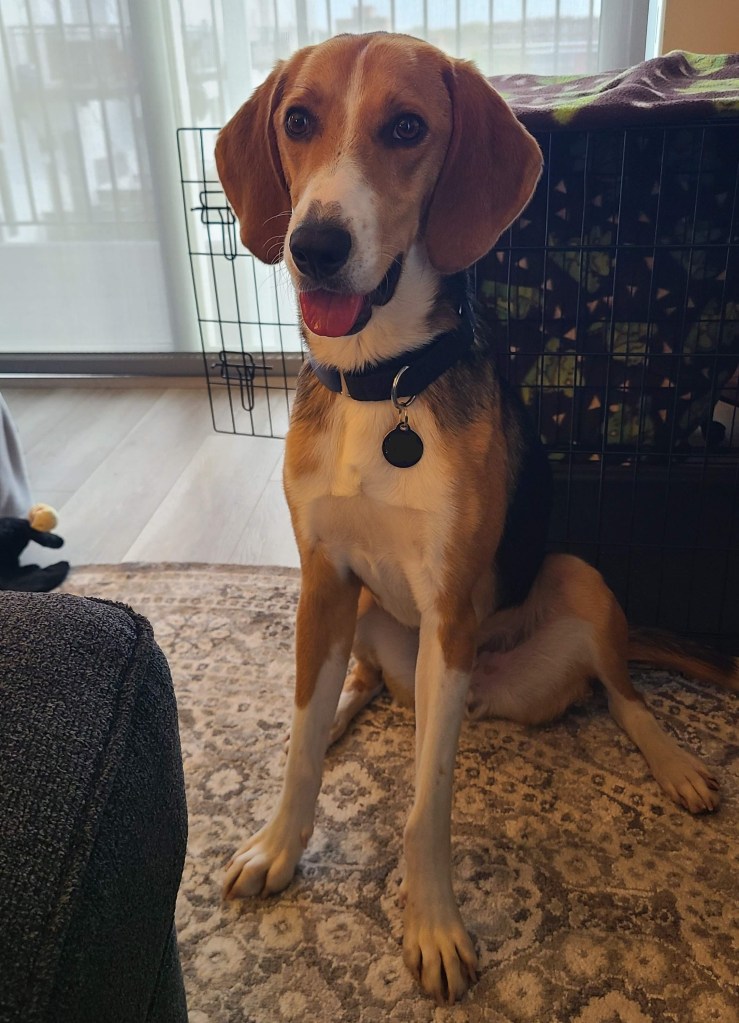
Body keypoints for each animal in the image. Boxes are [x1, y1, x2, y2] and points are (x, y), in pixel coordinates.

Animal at [215, 32, 738, 1003]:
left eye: (406, 127)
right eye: (297, 121)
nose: (314, 245)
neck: (378, 380)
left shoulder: (450, 609)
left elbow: (427, 805)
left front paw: (431, 925)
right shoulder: (321, 582)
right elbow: (301, 750)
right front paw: (277, 843)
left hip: (575, 578)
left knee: (621, 692)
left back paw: (675, 763)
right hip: (367, 617)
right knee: (361, 684)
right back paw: (343, 711)